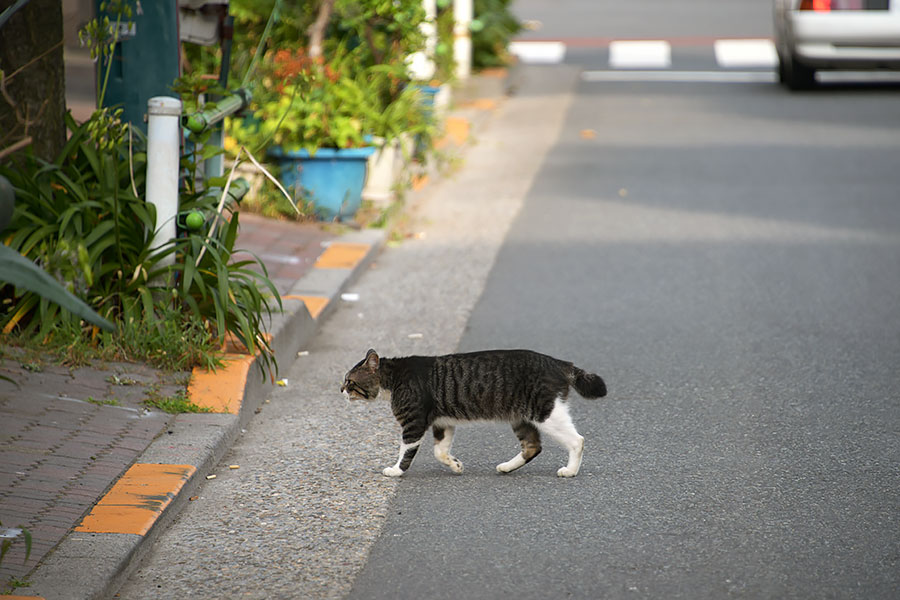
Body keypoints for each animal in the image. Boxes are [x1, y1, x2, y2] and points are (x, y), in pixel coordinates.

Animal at [342, 350, 608, 476]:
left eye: (350, 381)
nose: (341, 390)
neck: (395, 377)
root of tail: (558, 362)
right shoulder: (442, 424)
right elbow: (440, 452)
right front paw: (455, 465)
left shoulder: (413, 424)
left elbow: (405, 451)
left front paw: (396, 470)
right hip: (521, 418)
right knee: (533, 446)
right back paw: (506, 467)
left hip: (546, 413)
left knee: (577, 440)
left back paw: (570, 471)